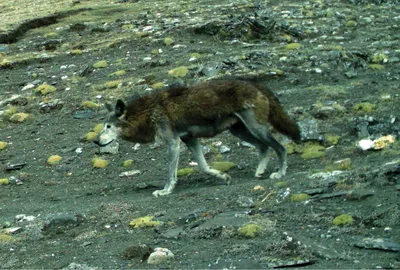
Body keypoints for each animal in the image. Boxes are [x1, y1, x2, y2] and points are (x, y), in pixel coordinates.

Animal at [94, 78, 300, 196]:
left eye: (108, 126)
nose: (96, 141)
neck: (148, 112)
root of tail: (256, 84)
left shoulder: (173, 143)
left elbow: (170, 172)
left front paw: (165, 190)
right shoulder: (190, 139)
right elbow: (203, 166)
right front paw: (223, 177)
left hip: (256, 129)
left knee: (280, 147)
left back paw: (280, 173)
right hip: (240, 131)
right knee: (264, 147)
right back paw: (259, 172)